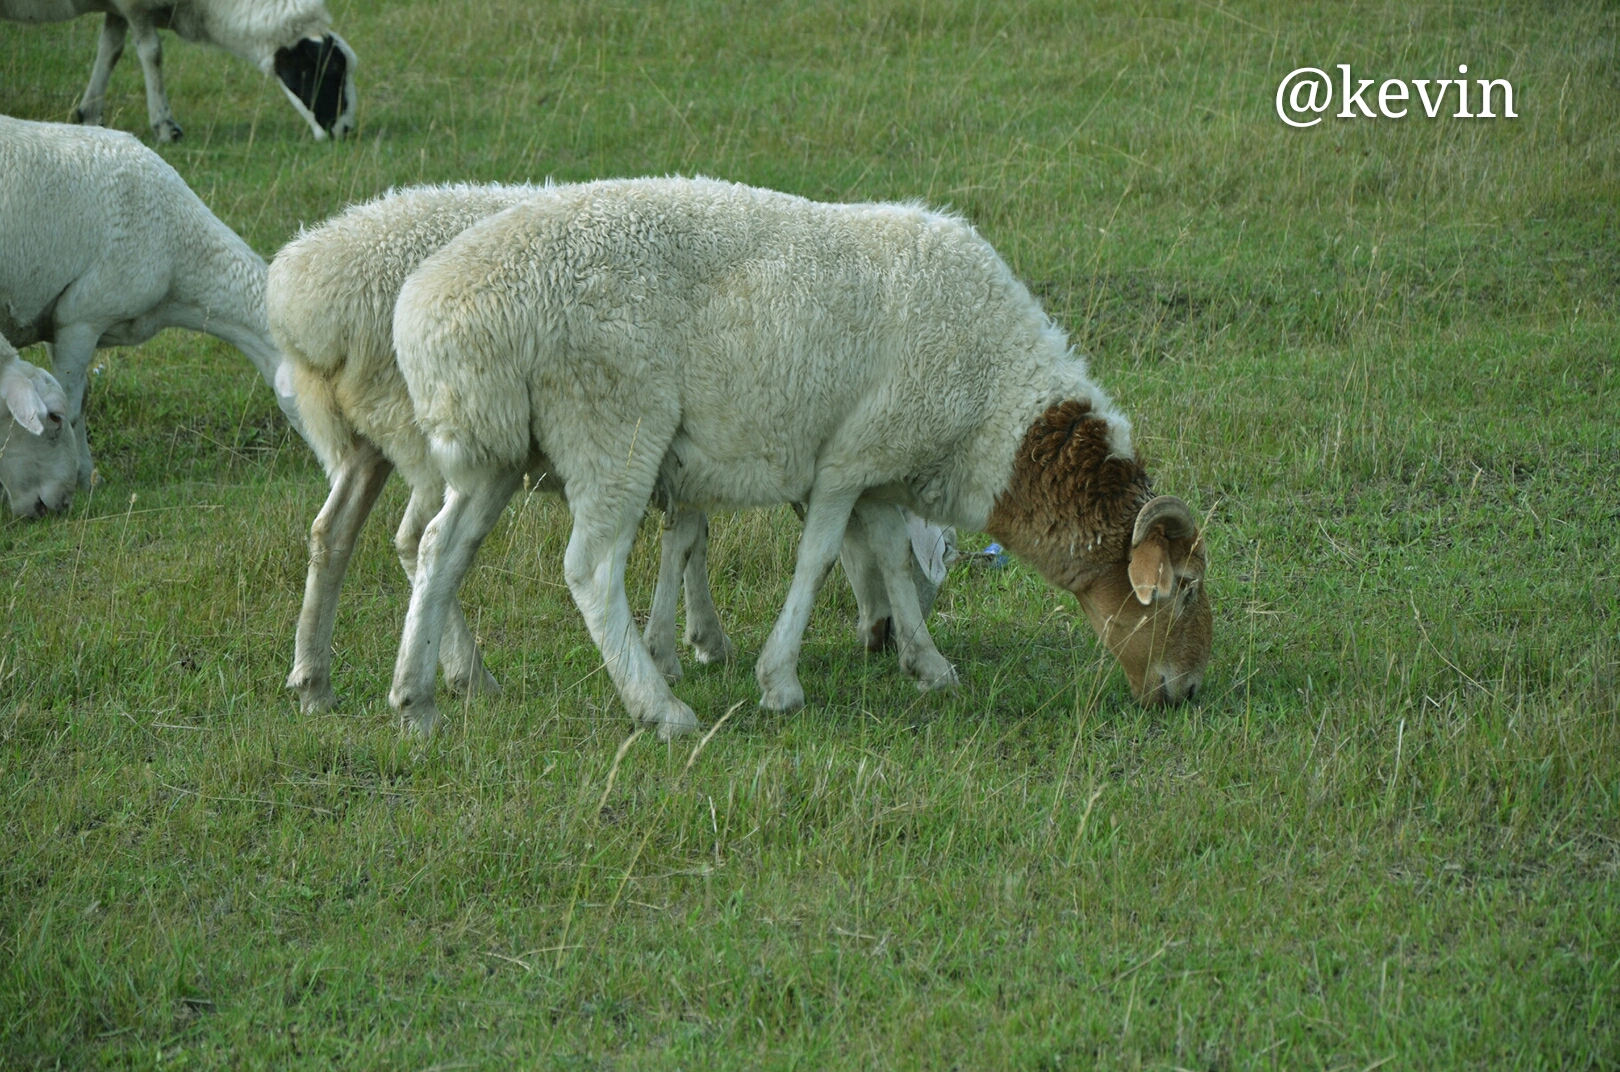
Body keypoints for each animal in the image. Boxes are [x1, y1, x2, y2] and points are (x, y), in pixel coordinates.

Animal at [0, 0, 356, 142]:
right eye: (333, 69)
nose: (345, 131)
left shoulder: (119, 10)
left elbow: (111, 49)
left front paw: (90, 114)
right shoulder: (134, 5)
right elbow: (152, 53)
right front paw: (165, 126)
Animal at [0, 114, 307, 485]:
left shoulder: (57, 320)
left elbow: (82, 398)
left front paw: (87, 475)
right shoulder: (81, 317)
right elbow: (71, 408)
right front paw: (80, 479)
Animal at [270, 184, 946, 722]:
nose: (883, 638)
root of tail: (306, 299)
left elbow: (688, 534)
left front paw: (688, 639)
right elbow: (691, 536)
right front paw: (679, 649)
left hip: (378, 443)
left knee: (335, 531)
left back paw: (317, 683)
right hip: (435, 433)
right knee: (416, 539)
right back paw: (467, 675)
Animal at [385, 180, 1211, 744]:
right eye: (1184, 589)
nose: (1190, 693)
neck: (994, 409)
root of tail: (431, 310)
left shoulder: (881, 466)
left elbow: (891, 562)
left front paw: (926, 664)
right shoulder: (847, 461)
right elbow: (816, 561)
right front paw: (779, 681)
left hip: (490, 447)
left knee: (437, 547)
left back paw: (420, 698)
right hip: (612, 427)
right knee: (588, 569)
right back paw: (660, 707)